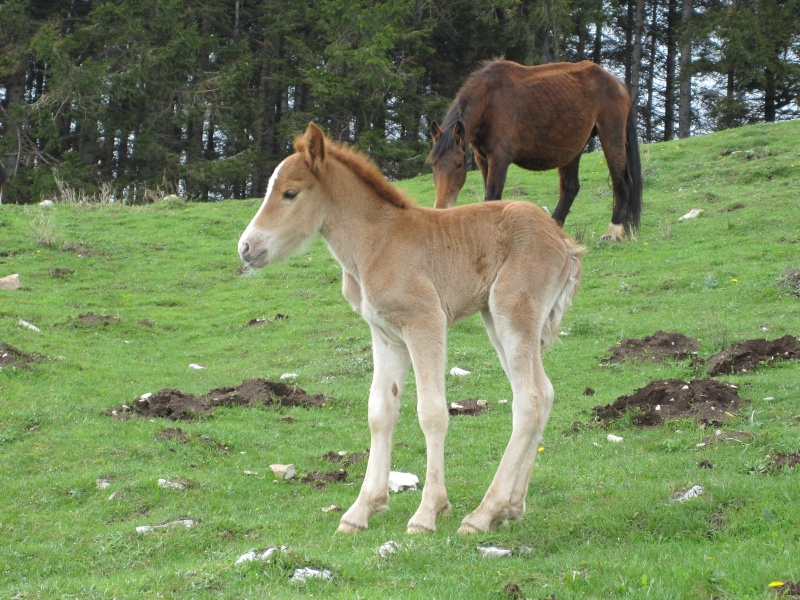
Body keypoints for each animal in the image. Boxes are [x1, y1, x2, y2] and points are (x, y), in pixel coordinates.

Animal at [238, 122, 580, 536]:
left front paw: (428, 512)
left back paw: (483, 514)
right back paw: (511, 508)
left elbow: (431, 411)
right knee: (542, 393)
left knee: (528, 399)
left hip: (512, 312)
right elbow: (380, 410)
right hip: (499, 319)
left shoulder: (425, 321)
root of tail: (564, 242)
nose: (246, 247)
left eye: (289, 192)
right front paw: (361, 510)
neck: (377, 244)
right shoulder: (385, 334)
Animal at [428, 59, 640, 241]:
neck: (489, 99)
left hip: (611, 137)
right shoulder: (483, 159)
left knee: (622, 182)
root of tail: (619, 84)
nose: (440, 208)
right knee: (570, 188)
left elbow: (492, 195)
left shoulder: (499, 158)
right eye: (433, 164)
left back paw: (613, 232)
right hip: (573, 148)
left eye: (458, 165)